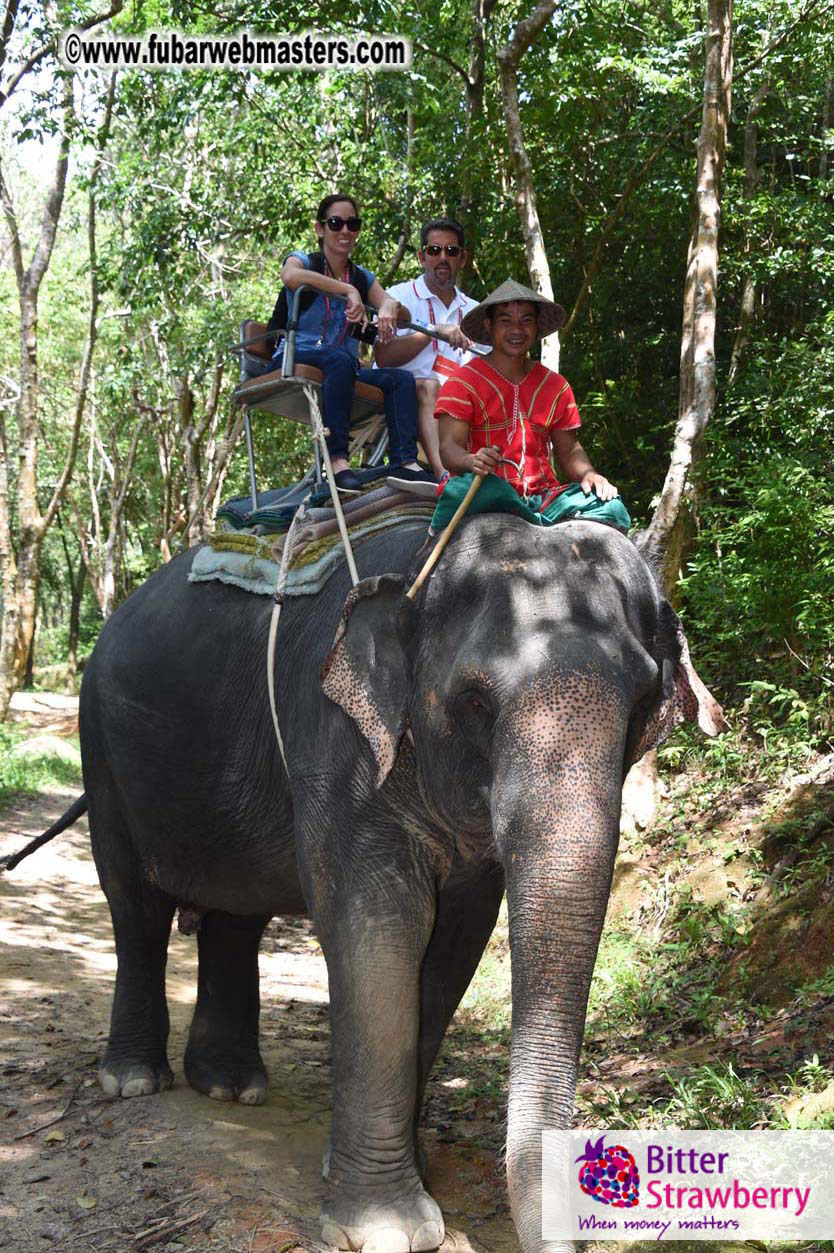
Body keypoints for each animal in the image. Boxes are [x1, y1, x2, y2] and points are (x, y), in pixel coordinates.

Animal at [69, 510, 723, 1253]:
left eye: (642, 702)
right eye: (475, 700)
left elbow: (453, 944)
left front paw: (395, 1171)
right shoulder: (337, 741)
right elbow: (381, 926)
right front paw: (385, 1227)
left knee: (237, 914)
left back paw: (232, 1088)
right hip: (102, 745)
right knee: (136, 905)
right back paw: (134, 1079)